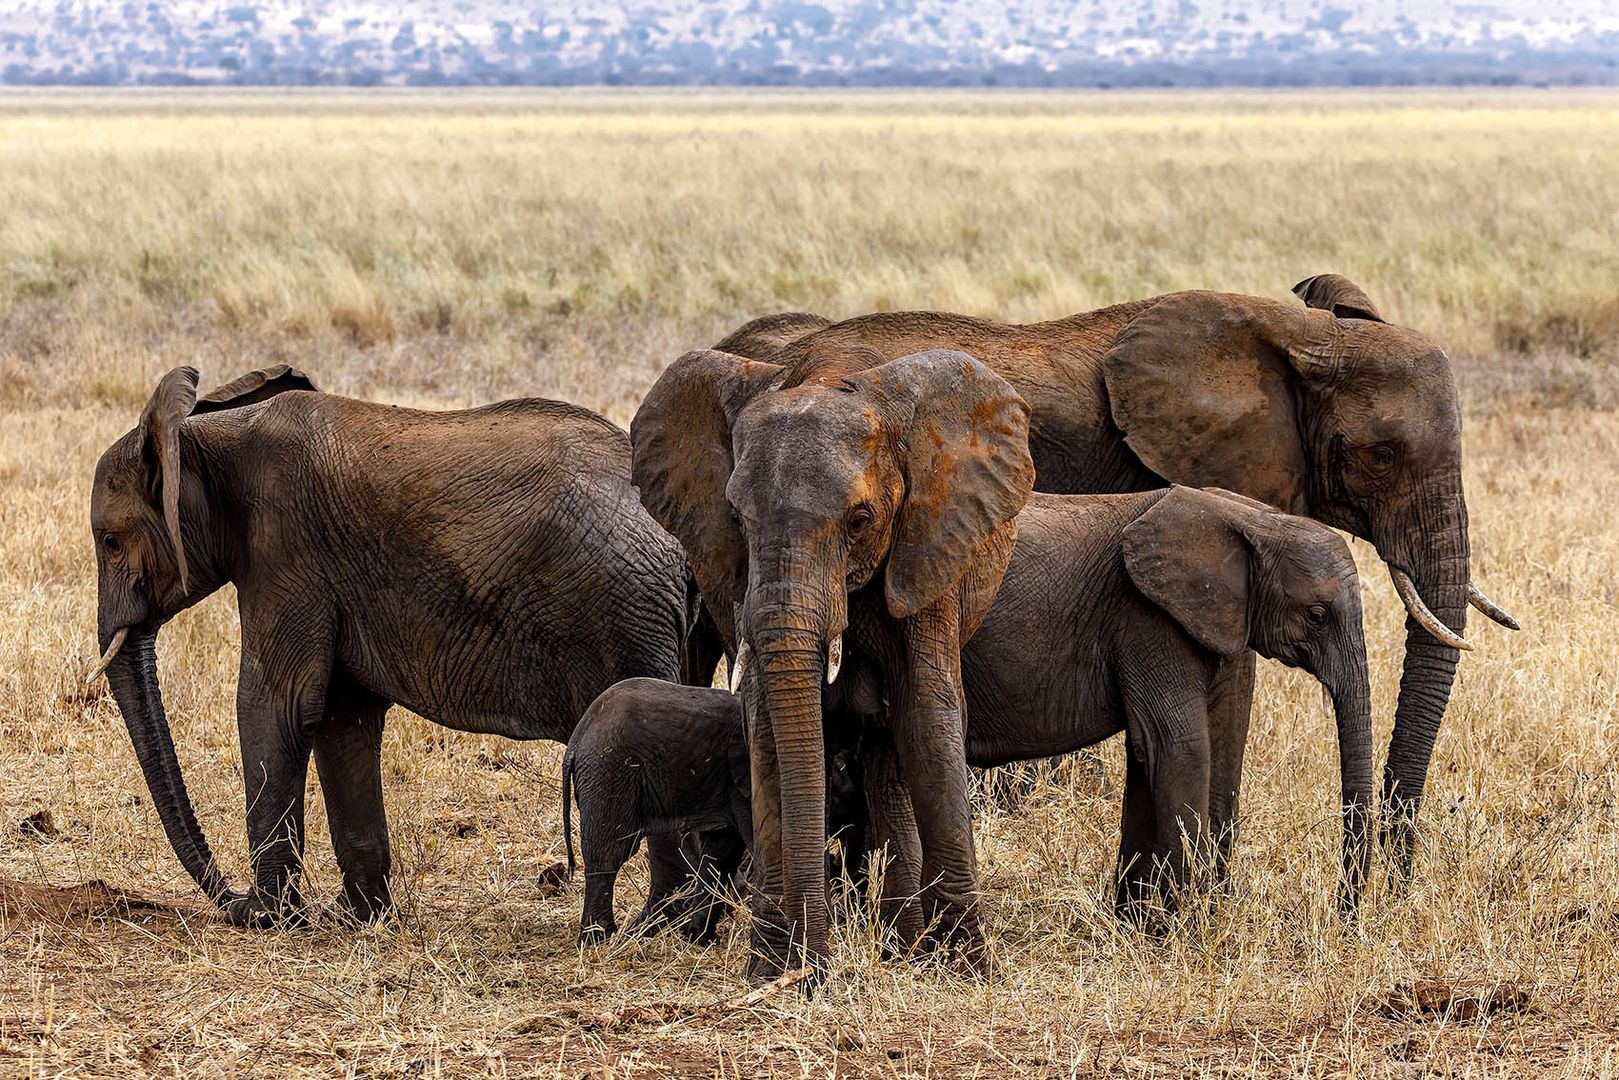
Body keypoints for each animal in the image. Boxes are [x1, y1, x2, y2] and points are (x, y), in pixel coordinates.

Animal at [88, 365, 696, 932]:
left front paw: (273, 917)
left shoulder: (284, 554)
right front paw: (354, 918)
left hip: (621, 617)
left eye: (110, 542)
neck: (205, 437)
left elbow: (276, 707)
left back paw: (660, 926)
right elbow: (341, 716)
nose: (234, 902)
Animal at [560, 680, 867, 952]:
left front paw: (700, 939)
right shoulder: (744, 786)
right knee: (610, 851)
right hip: (609, 774)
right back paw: (599, 939)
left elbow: (720, 856)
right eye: (842, 794)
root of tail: (576, 742)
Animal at [624, 346, 1029, 977]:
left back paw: (904, 948)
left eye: (859, 521)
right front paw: (775, 967)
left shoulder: (928, 543)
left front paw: (966, 969)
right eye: (736, 519)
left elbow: (926, 718)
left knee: (892, 751)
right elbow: (767, 728)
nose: (812, 970)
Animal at [958, 488, 1379, 919]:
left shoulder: (1221, 623)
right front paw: (1188, 923)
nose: (1344, 914)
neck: (1254, 520)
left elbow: (1218, 744)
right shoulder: (1147, 619)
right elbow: (1180, 749)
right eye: (1316, 616)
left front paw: (1149, 921)